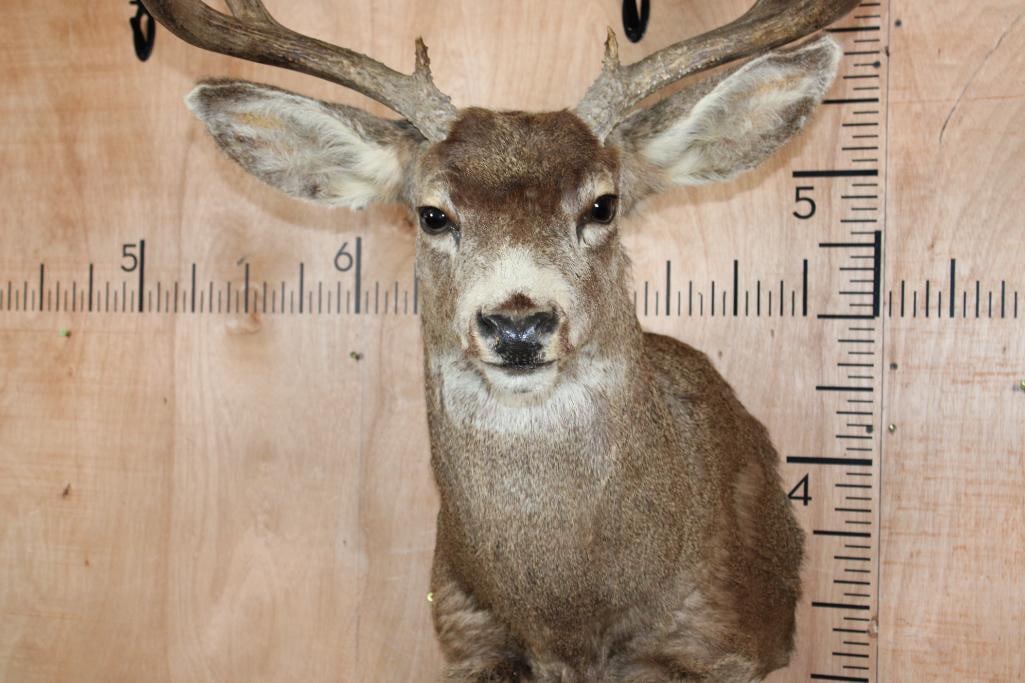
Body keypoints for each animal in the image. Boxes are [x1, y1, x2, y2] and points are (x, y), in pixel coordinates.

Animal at [143, 0, 859, 680]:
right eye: (432, 214)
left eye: (603, 205)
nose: (518, 323)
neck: (570, 617)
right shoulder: (469, 637)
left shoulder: (721, 638)